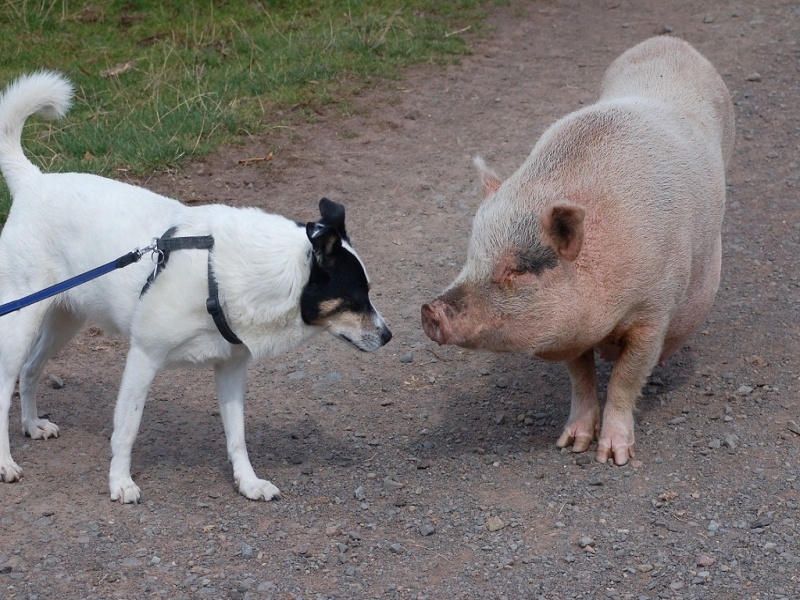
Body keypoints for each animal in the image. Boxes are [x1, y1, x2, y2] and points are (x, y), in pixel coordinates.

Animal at [421, 36, 734, 465]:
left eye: (517, 269)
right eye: (472, 255)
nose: (429, 309)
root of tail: (670, 41)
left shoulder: (653, 312)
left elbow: (624, 380)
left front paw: (612, 458)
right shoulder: (569, 330)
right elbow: (581, 378)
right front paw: (570, 445)